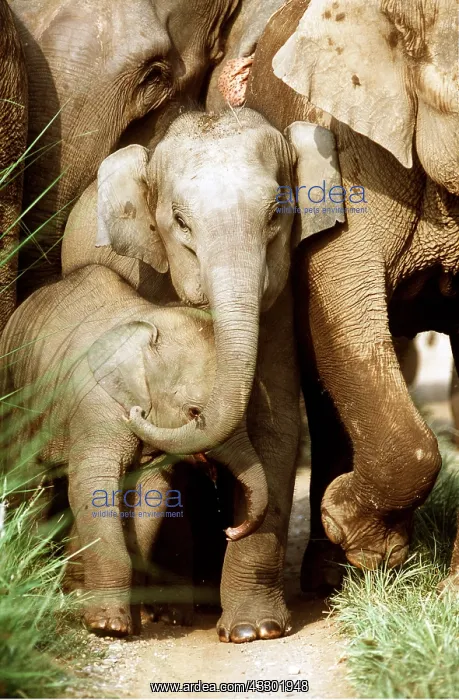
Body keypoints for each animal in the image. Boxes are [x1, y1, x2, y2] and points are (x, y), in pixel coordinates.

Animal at [0, 263, 271, 636]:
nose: (230, 532)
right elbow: (92, 486)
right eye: (194, 412)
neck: (146, 323)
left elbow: (151, 495)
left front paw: (133, 623)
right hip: (14, 398)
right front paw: (108, 626)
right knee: (28, 484)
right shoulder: (94, 406)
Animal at [61, 107, 344, 641]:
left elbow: (274, 427)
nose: (235, 528)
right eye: (179, 222)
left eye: (276, 215)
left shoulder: (279, 304)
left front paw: (254, 630)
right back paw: (168, 609)